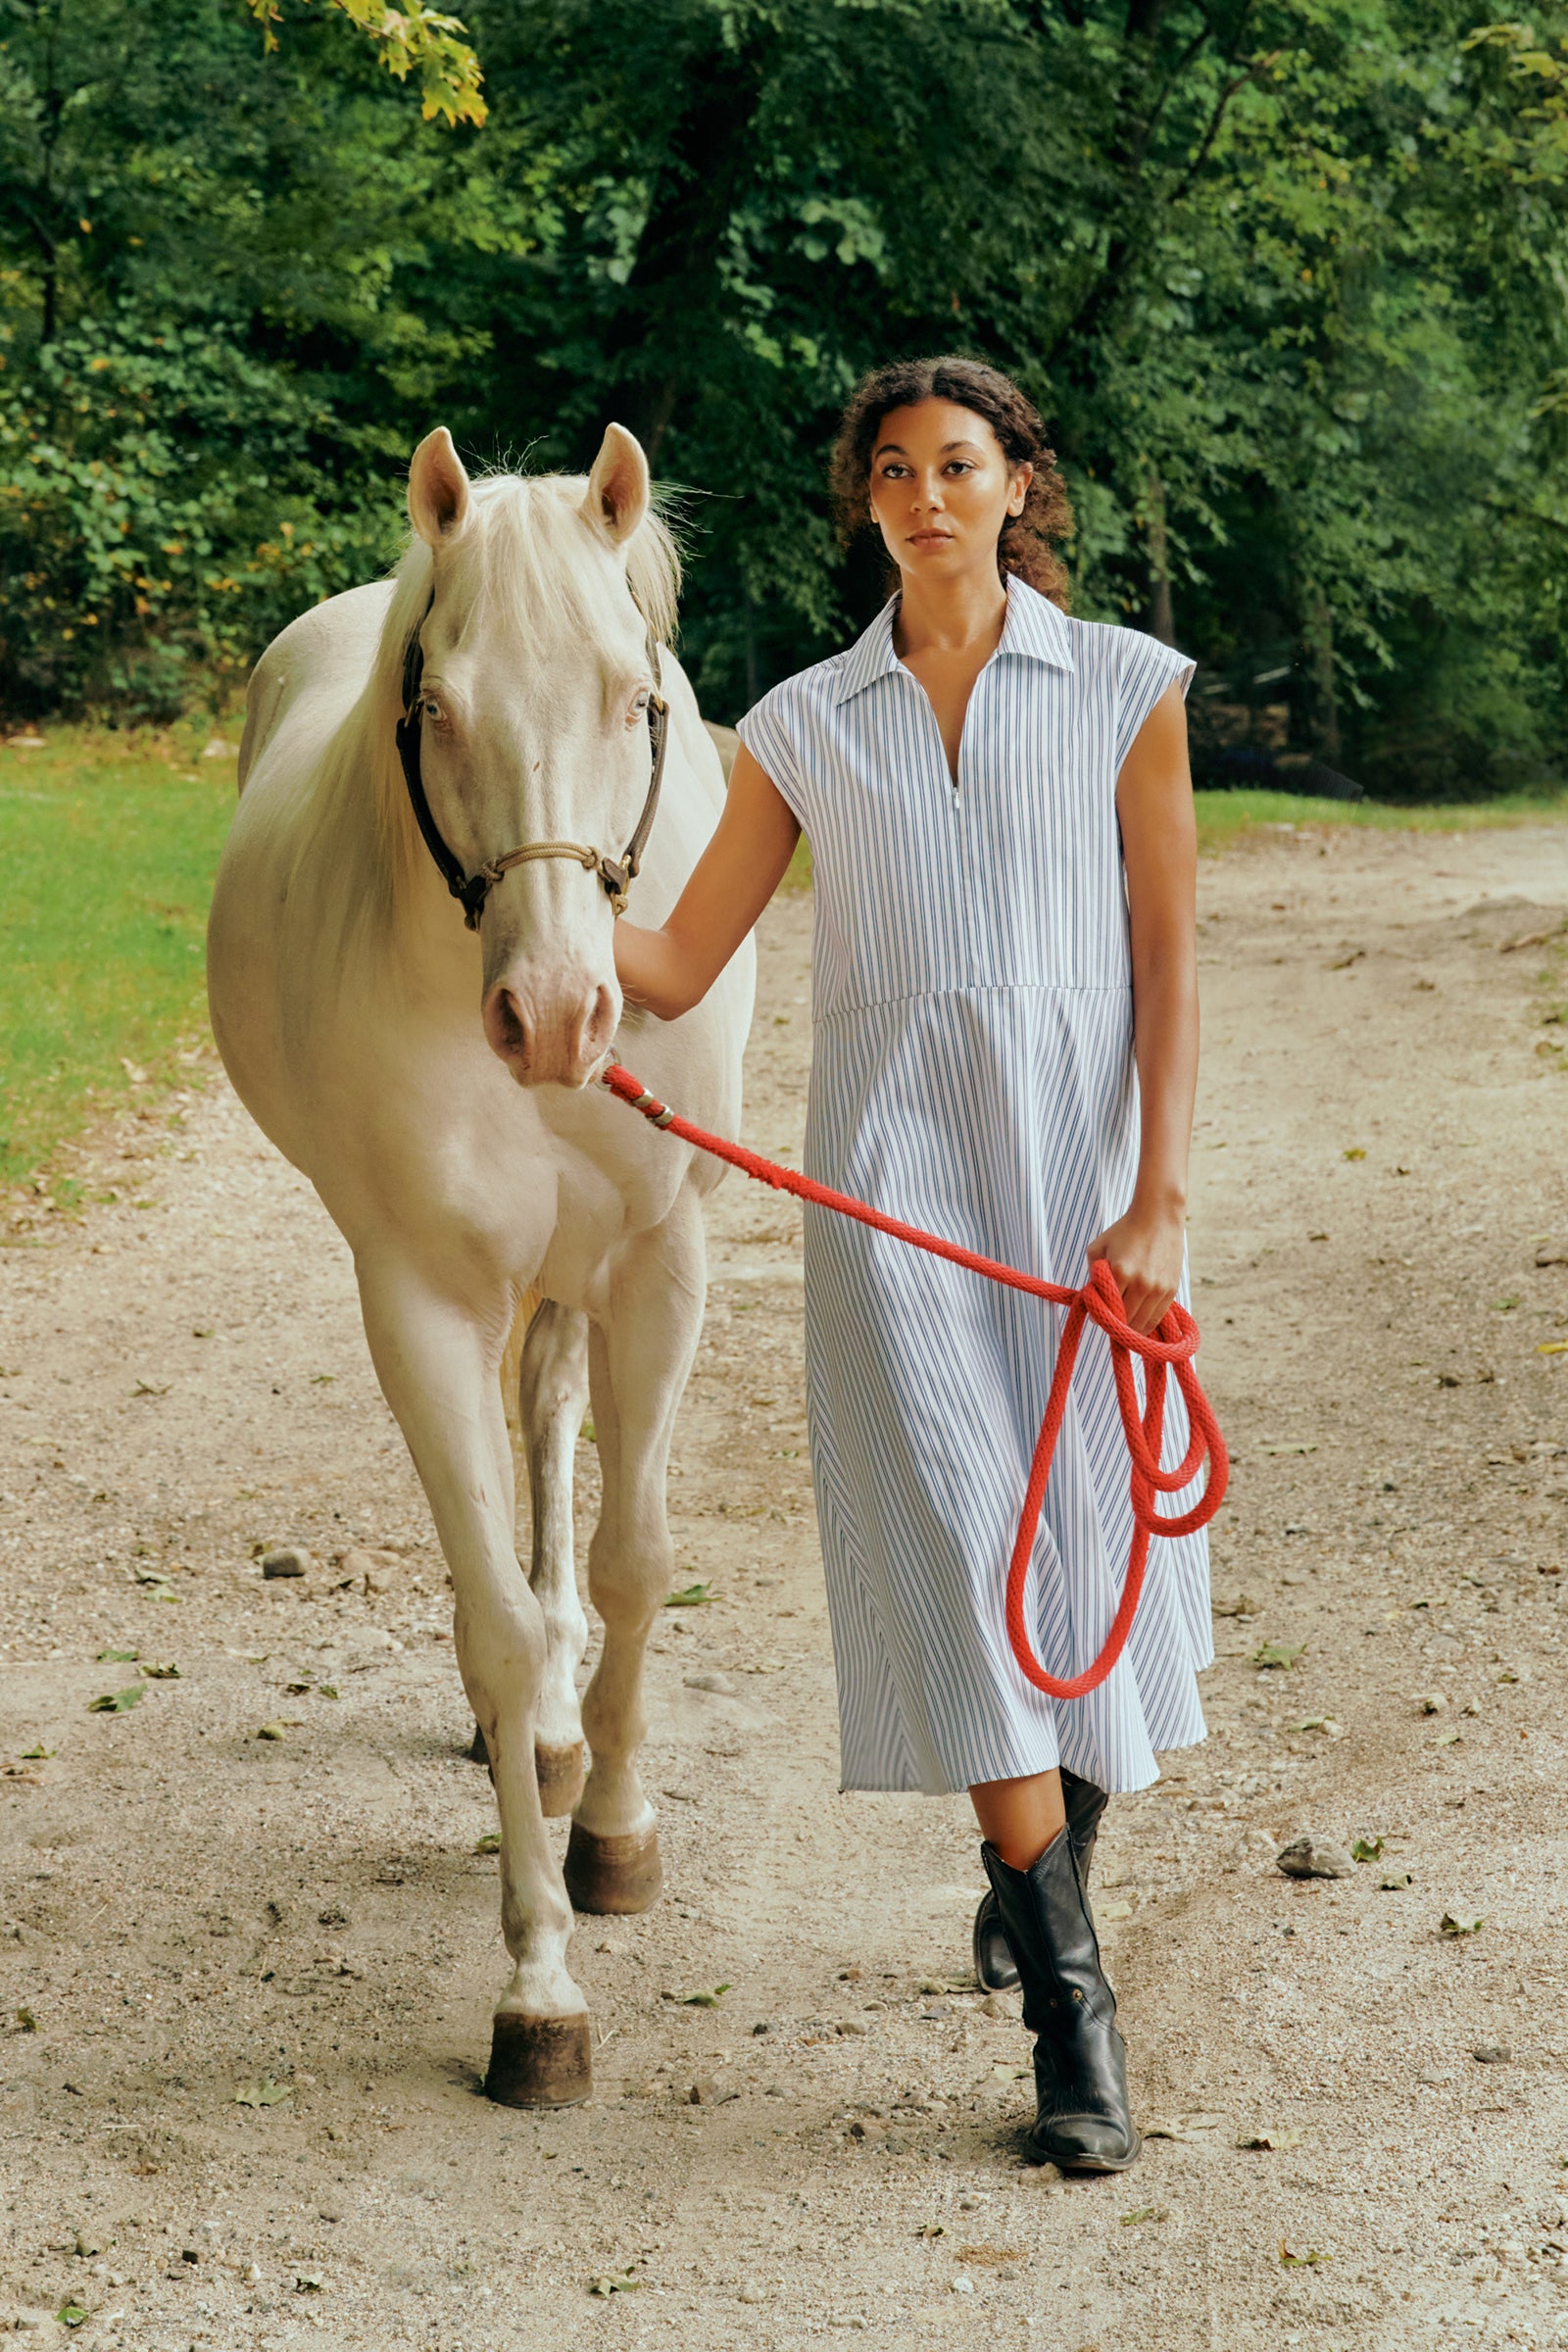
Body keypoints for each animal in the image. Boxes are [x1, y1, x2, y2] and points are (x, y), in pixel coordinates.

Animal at [205, 427, 757, 2117]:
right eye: (436, 705)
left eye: (635, 698)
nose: (560, 1016)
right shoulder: (421, 1297)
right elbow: (500, 1622)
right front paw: (540, 1990)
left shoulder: (658, 1259)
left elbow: (636, 1558)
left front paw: (618, 1835)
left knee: (554, 1420)